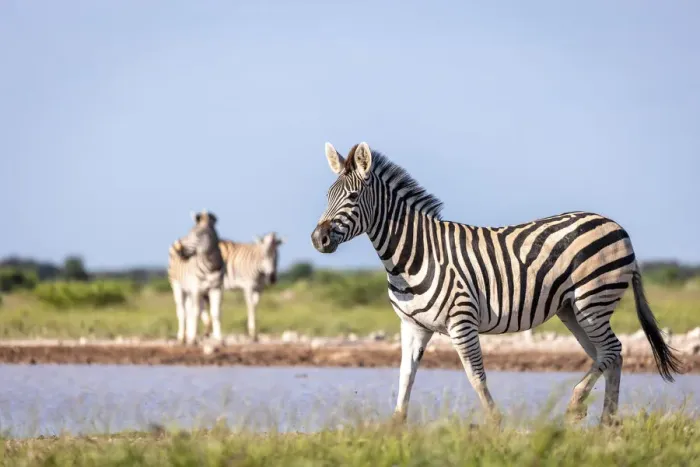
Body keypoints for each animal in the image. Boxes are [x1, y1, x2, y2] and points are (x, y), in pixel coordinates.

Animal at [168, 210, 225, 345]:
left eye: (199, 235)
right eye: (190, 232)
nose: (179, 251)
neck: (211, 266)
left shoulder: (216, 289)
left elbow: (215, 312)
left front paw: (219, 338)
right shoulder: (196, 289)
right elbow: (196, 312)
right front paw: (193, 338)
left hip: (191, 291)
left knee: (188, 310)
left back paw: (188, 336)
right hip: (177, 286)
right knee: (182, 311)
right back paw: (182, 338)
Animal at [310, 141, 683, 425]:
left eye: (353, 197)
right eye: (327, 196)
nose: (318, 239)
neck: (412, 256)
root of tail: (617, 226)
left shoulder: (461, 321)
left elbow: (476, 376)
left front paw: (495, 422)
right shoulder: (412, 325)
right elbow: (405, 376)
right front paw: (396, 426)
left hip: (592, 300)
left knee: (614, 350)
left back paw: (580, 405)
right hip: (572, 310)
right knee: (608, 356)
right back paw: (607, 421)